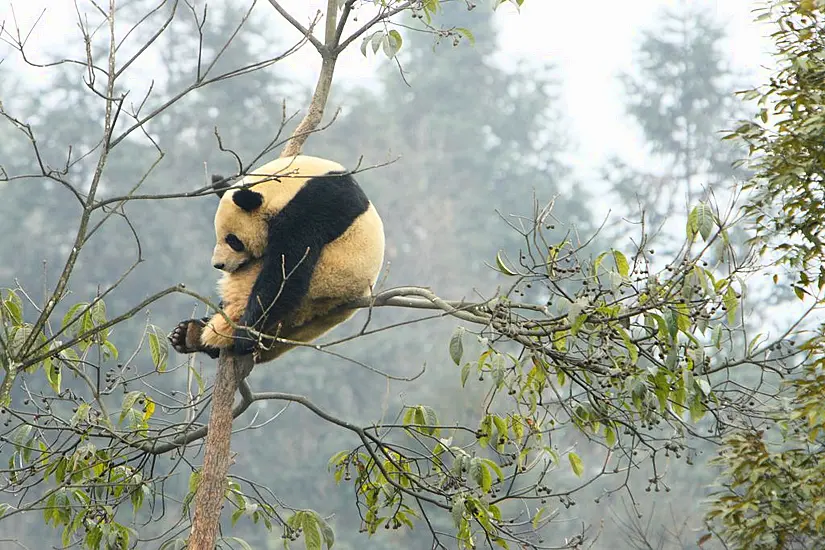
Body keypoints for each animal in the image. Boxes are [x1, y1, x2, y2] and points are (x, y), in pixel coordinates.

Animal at [170, 154, 386, 366]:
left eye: (233, 240)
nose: (218, 264)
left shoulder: (314, 208)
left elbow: (287, 269)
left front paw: (245, 336)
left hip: (323, 281)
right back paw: (188, 334)